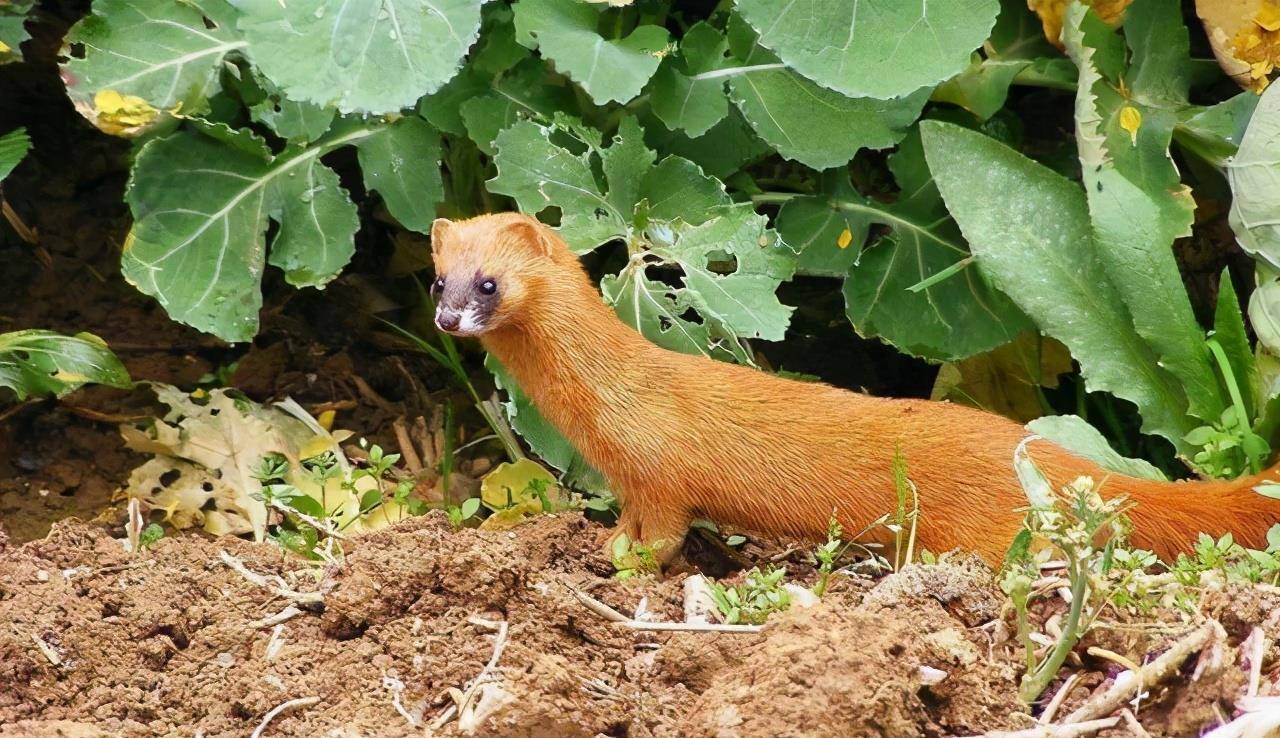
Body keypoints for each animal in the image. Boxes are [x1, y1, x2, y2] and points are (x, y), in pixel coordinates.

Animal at [427, 211, 1280, 562]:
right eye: (439, 277)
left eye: (490, 281)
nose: (446, 317)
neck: (607, 406)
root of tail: (1051, 456)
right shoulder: (631, 481)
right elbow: (634, 523)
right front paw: (611, 545)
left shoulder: (661, 473)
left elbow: (664, 535)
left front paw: (628, 565)